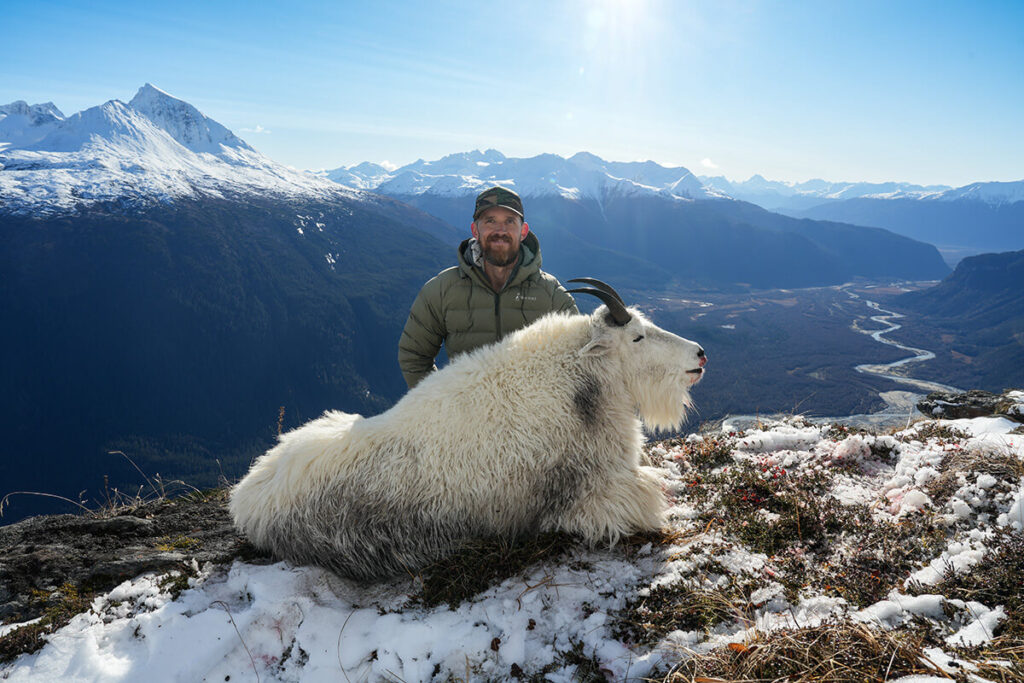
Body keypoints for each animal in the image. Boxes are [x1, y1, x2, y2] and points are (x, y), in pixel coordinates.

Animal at [231, 278, 704, 581]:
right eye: (637, 337)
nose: (699, 354)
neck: (573, 384)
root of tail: (246, 501)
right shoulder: (588, 499)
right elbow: (649, 496)